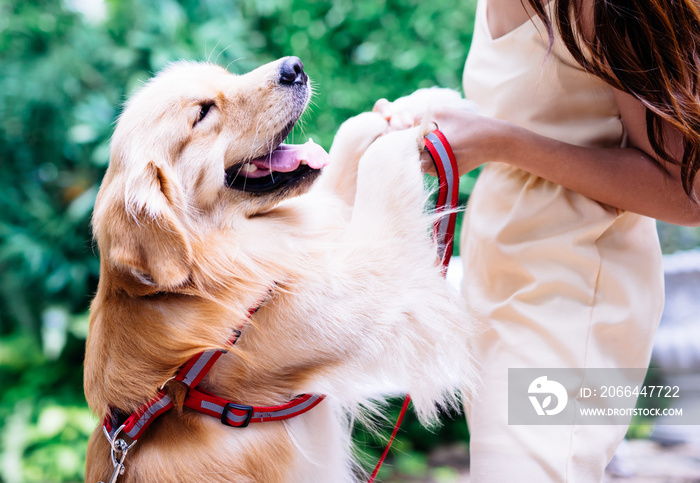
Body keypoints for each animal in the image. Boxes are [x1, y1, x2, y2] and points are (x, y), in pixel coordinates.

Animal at [82, 57, 476, 483]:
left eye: (226, 76)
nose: (294, 67)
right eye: (203, 112)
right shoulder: (365, 287)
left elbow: (344, 154)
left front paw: (416, 105)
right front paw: (406, 132)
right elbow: (379, 164)